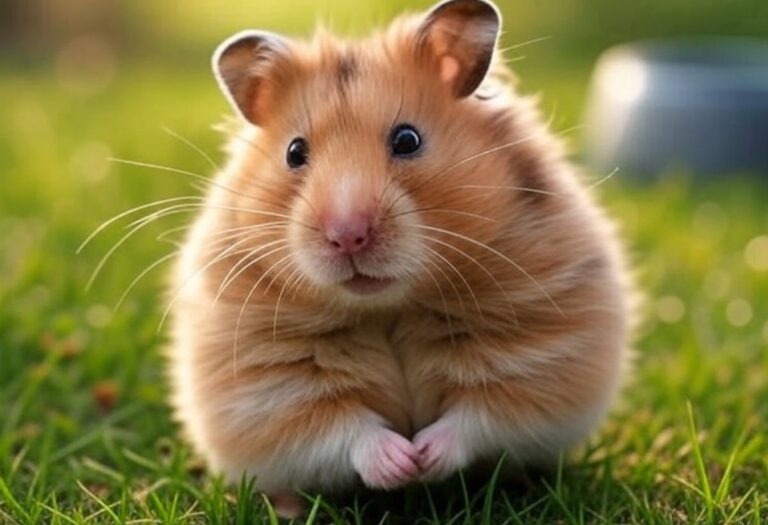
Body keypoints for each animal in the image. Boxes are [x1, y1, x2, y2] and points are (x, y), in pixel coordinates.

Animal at [168, 0, 633, 517]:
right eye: (294, 152)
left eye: (407, 140)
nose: (347, 236)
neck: (388, 307)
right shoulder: (270, 388)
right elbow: (344, 427)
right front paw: (401, 463)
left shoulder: (538, 362)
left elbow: (477, 415)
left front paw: (423, 459)